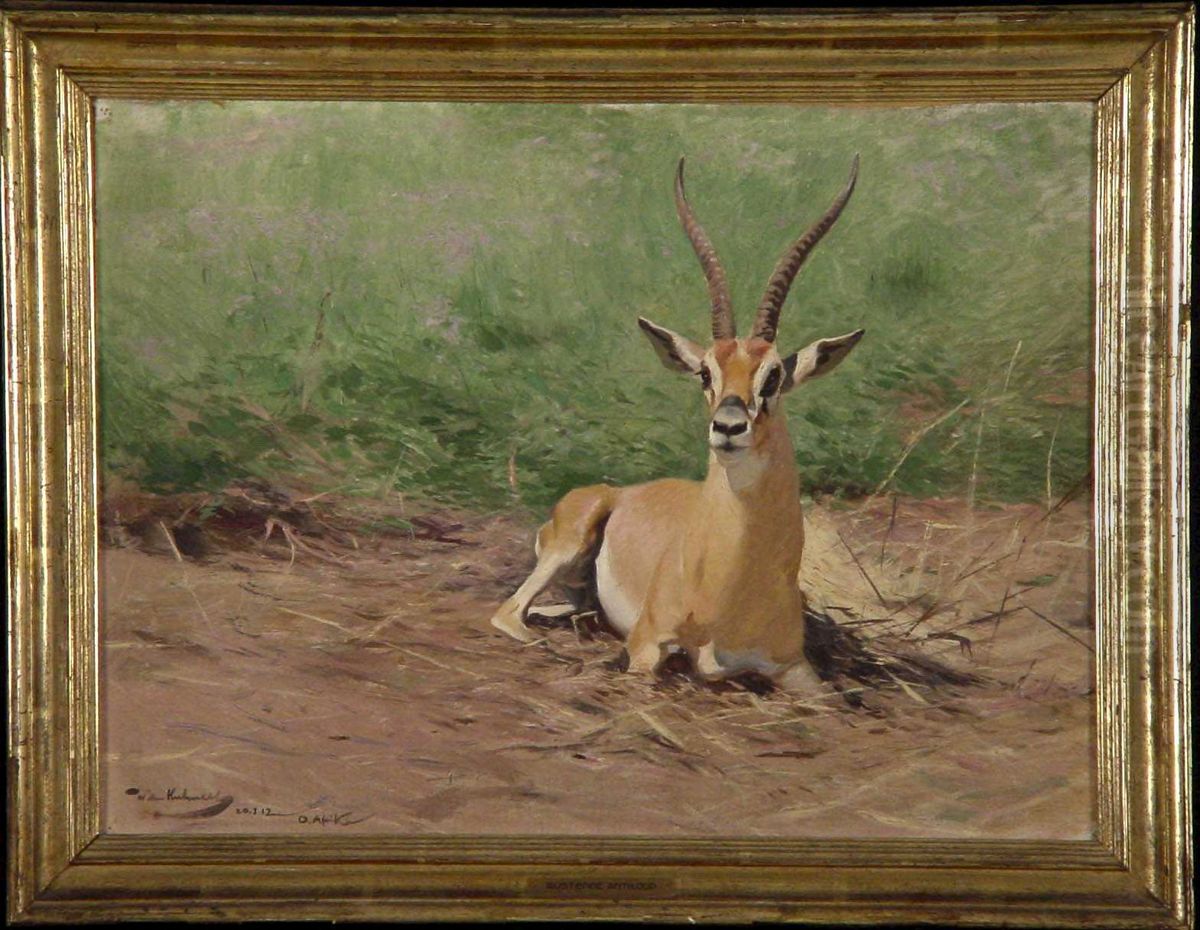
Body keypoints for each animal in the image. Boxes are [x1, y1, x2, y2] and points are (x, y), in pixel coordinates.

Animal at [490, 155, 865, 691]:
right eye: (705, 372)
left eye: (773, 375)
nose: (728, 426)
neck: (725, 588)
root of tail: (617, 492)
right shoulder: (646, 647)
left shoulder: (796, 669)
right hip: (565, 547)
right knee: (508, 613)